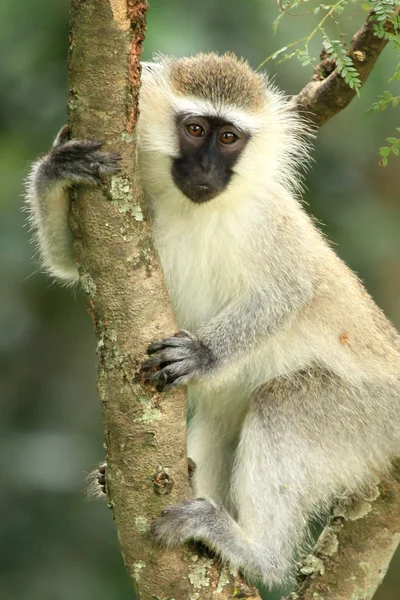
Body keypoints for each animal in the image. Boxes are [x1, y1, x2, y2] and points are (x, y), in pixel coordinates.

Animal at [25, 54, 400, 588]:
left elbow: (288, 292)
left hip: (373, 415)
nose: (205, 168)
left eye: (229, 138)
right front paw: (57, 168)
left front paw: (202, 354)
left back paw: (256, 552)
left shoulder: (269, 221)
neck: (199, 209)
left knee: (285, 402)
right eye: (196, 129)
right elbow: (69, 263)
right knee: (222, 419)